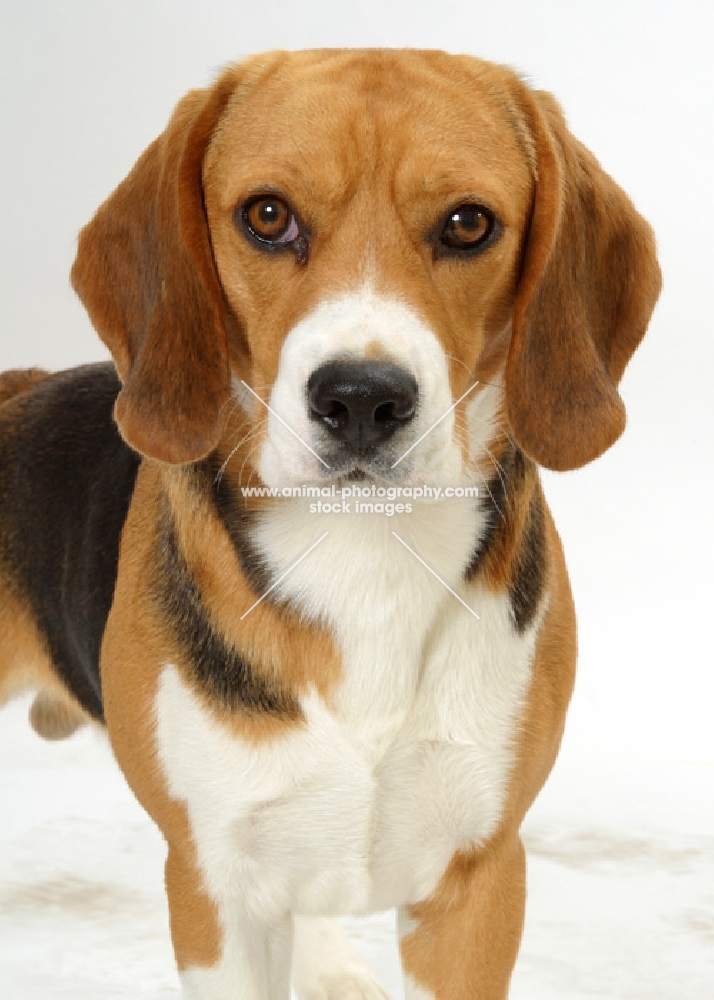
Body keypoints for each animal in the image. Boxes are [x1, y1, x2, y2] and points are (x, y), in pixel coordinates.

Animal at [0, 50, 656, 1000]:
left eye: (468, 224)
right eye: (268, 215)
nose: (361, 399)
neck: (366, 548)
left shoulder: (479, 882)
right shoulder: (212, 889)